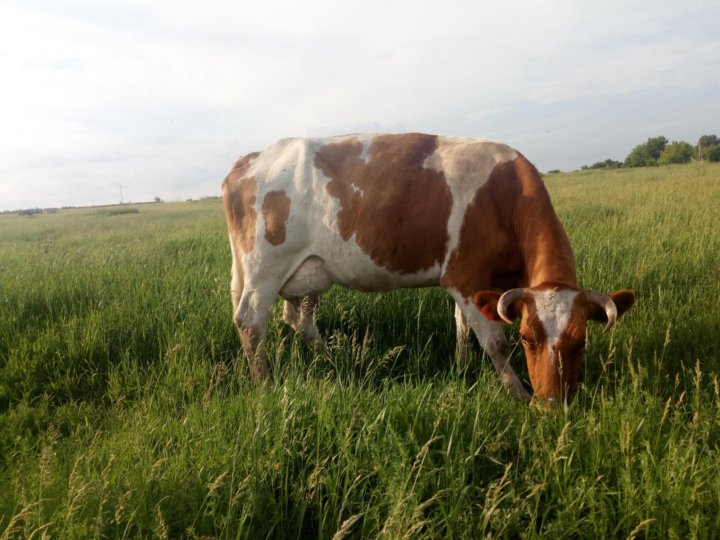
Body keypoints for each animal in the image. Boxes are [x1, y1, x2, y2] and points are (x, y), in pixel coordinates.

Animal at [221, 134, 636, 404]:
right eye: (527, 338)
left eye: (581, 342)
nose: (552, 405)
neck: (503, 194)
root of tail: (250, 159)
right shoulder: (463, 275)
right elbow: (493, 341)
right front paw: (518, 394)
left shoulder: (472, 285)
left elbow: (462, 327)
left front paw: (462, 367)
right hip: (265, 269)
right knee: (250, 321)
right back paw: (264, 385)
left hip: (307, 273)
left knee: (298, 320)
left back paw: (330, 359)